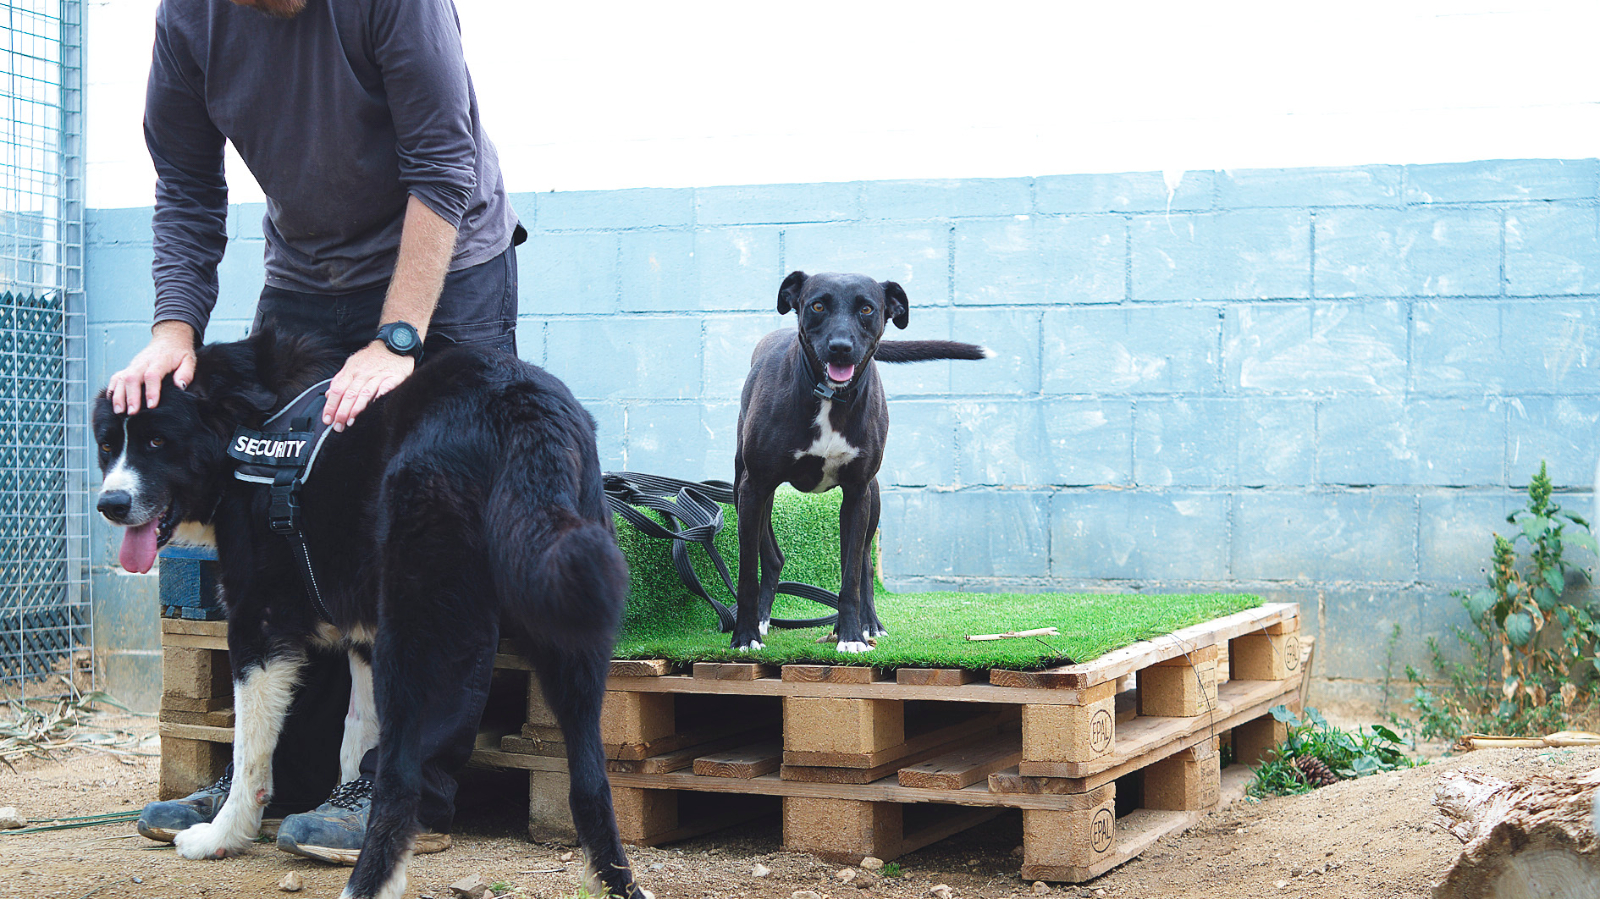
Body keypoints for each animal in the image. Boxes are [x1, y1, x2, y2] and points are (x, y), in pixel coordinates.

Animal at [94, 331, 643, 899]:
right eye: (108, 446)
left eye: (158, 443)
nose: (110, 504)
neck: (241, 420)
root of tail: (522, 407)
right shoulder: (361, 636)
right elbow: (352, 739)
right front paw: (334, 815)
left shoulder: (258, 626)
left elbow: (250, 752)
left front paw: (222, 835)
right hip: (571, 629)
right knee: (591, 782)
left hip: (414, 642)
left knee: (401, 783)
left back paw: (364, 885)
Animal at [731, 271, 990, 653]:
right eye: (817, 305)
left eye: (867, 309)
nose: (840, 347)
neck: (829, 396)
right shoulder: (755, 486)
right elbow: (747, 570)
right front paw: (745, 635)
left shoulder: (857, 493)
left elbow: (851, 575)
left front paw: (851, 636)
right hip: (744, 489)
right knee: (772, 556)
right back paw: (762, 619)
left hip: (873, 498)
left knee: (863, 563)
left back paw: (868, 624)